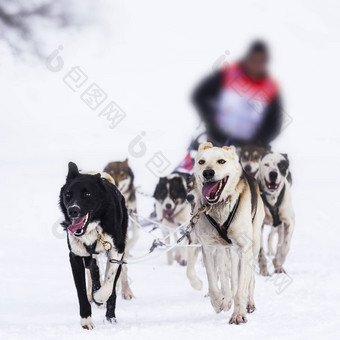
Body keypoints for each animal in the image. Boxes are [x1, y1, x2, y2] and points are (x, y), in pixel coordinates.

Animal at [59, 162, 128, 330]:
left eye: (87, 194)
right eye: (68, 194)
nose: (73, 210)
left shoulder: (117, 251)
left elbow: (109, 285)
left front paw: (100, 297)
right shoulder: (76, 256)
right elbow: (82, 291)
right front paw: (86, 320)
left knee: (112, 288)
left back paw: (110, 317)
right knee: (94, 270)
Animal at [191, 143, 266, 324]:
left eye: (221, 161)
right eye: (201, 161)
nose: (208, 173)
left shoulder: (244, 249)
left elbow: (241, 288)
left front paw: (238, 314)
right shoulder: (209, 247)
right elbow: (213, 281)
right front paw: (219, 302)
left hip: (253, 246)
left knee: (249, 279)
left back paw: (249, 302)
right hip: (224, 250)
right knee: (226, 276)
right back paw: (226, 299)